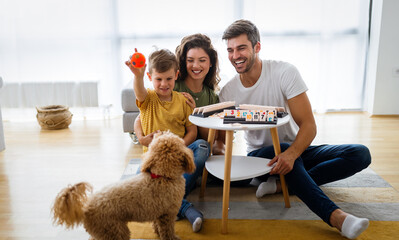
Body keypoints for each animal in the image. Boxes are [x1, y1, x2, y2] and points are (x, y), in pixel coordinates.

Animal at [51, 131, 195, 240]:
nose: (159, 131)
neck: (162, 176)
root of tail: (85, 209)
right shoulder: (167, 215)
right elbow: (167, 232)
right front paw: (172, 238)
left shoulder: (158, 214)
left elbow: (157, 227)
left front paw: (157, 232)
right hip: (114, 230)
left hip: (103, 232)